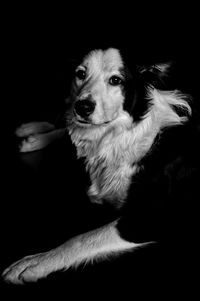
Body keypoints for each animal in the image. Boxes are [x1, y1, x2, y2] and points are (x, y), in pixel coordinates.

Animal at [2, 47, 199, 284]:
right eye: (80, 74)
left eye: (115, 80)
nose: (83, 107)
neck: (121, 136)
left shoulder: (153, 215)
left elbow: (82, 238)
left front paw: (36, 262)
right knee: (65, 124)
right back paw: (32, 133)